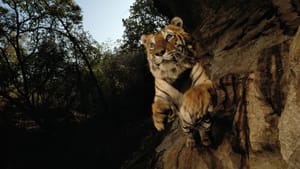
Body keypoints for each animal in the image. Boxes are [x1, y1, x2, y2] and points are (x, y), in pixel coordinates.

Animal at [141, 16, 216, 147]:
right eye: (152, 45)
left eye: (169, 36)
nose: (159, 52)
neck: (174, 73)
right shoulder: (161, 95)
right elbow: (155, 104)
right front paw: (158, 120)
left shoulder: (205, 81)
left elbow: (197, 90)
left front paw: (191, 102)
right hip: (185, 127)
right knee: (189, 133)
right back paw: (191, 142)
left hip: (207, 121)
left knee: (203, 130)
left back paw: (206, 140)